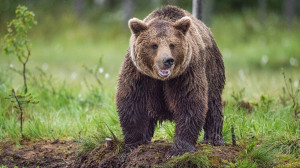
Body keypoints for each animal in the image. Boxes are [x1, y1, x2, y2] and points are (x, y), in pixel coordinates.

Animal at [116, 5, 224, 158]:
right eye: (154, 45)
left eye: (172, 45)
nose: (168, 60)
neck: (161, 79)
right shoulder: (139, 74)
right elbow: (132, 102)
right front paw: (134, 143)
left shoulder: (186, 74)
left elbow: (189, 103)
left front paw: (178, 150)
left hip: (212, 68)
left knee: (213, 103)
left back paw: (213, 139)